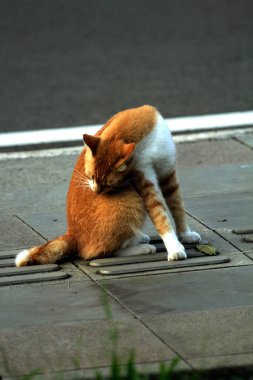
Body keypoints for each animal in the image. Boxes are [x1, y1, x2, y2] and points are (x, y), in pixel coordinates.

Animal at [15, 103, 202, 268]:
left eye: (107, 183)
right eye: (91, 177)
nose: (96, 191)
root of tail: (72, 235)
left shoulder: (168, 172)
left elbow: (177, 207)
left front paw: (185, 234)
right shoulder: (144, 179)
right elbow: (160, 215)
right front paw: (174, 247)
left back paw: (139, 238)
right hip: (130, 200)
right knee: (103, 252)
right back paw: (141, 247)